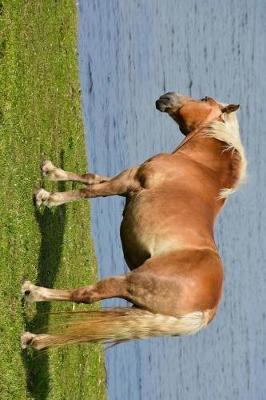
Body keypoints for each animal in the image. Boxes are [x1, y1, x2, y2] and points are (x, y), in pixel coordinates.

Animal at [21, 92, 247, 348]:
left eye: (204, 98)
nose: (166, 96)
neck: (200, 167)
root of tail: (206, 310)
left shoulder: (129, 180)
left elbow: (88, 191)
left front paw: (47, 198)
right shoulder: (125, 184)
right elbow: (91, 178)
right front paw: (51, 170)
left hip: (129, 283)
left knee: (87, 294)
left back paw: (32, 292)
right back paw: (34, 340)